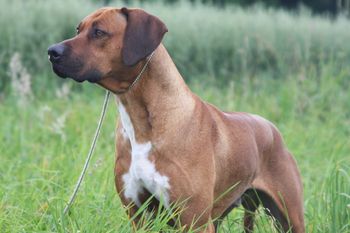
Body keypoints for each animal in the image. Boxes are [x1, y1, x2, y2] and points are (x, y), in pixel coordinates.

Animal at [47, 6, 304, 232]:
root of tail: (271, 127)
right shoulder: (138, 216)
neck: (143, 123)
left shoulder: (194, 221)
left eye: (99, 32)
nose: (52, 51)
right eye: (78, 29)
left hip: (289, 216)